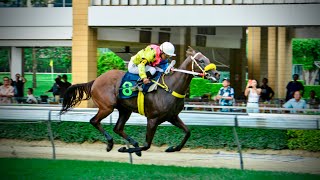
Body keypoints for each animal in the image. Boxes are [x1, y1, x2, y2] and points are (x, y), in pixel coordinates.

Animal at [60, 47, 220, 156]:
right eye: (201, 60)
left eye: (207, 59)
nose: (217, 74)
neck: (171, 87)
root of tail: (95, 80)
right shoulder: (153, 119)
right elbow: (147, 145)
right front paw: (126, 149)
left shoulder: (172, 117)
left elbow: (187, 132)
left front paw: (172, 148)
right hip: (107, 107)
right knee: (94, 121)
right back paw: (111, 143)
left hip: (125, 110)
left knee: (117, 128)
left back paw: (130, 142)